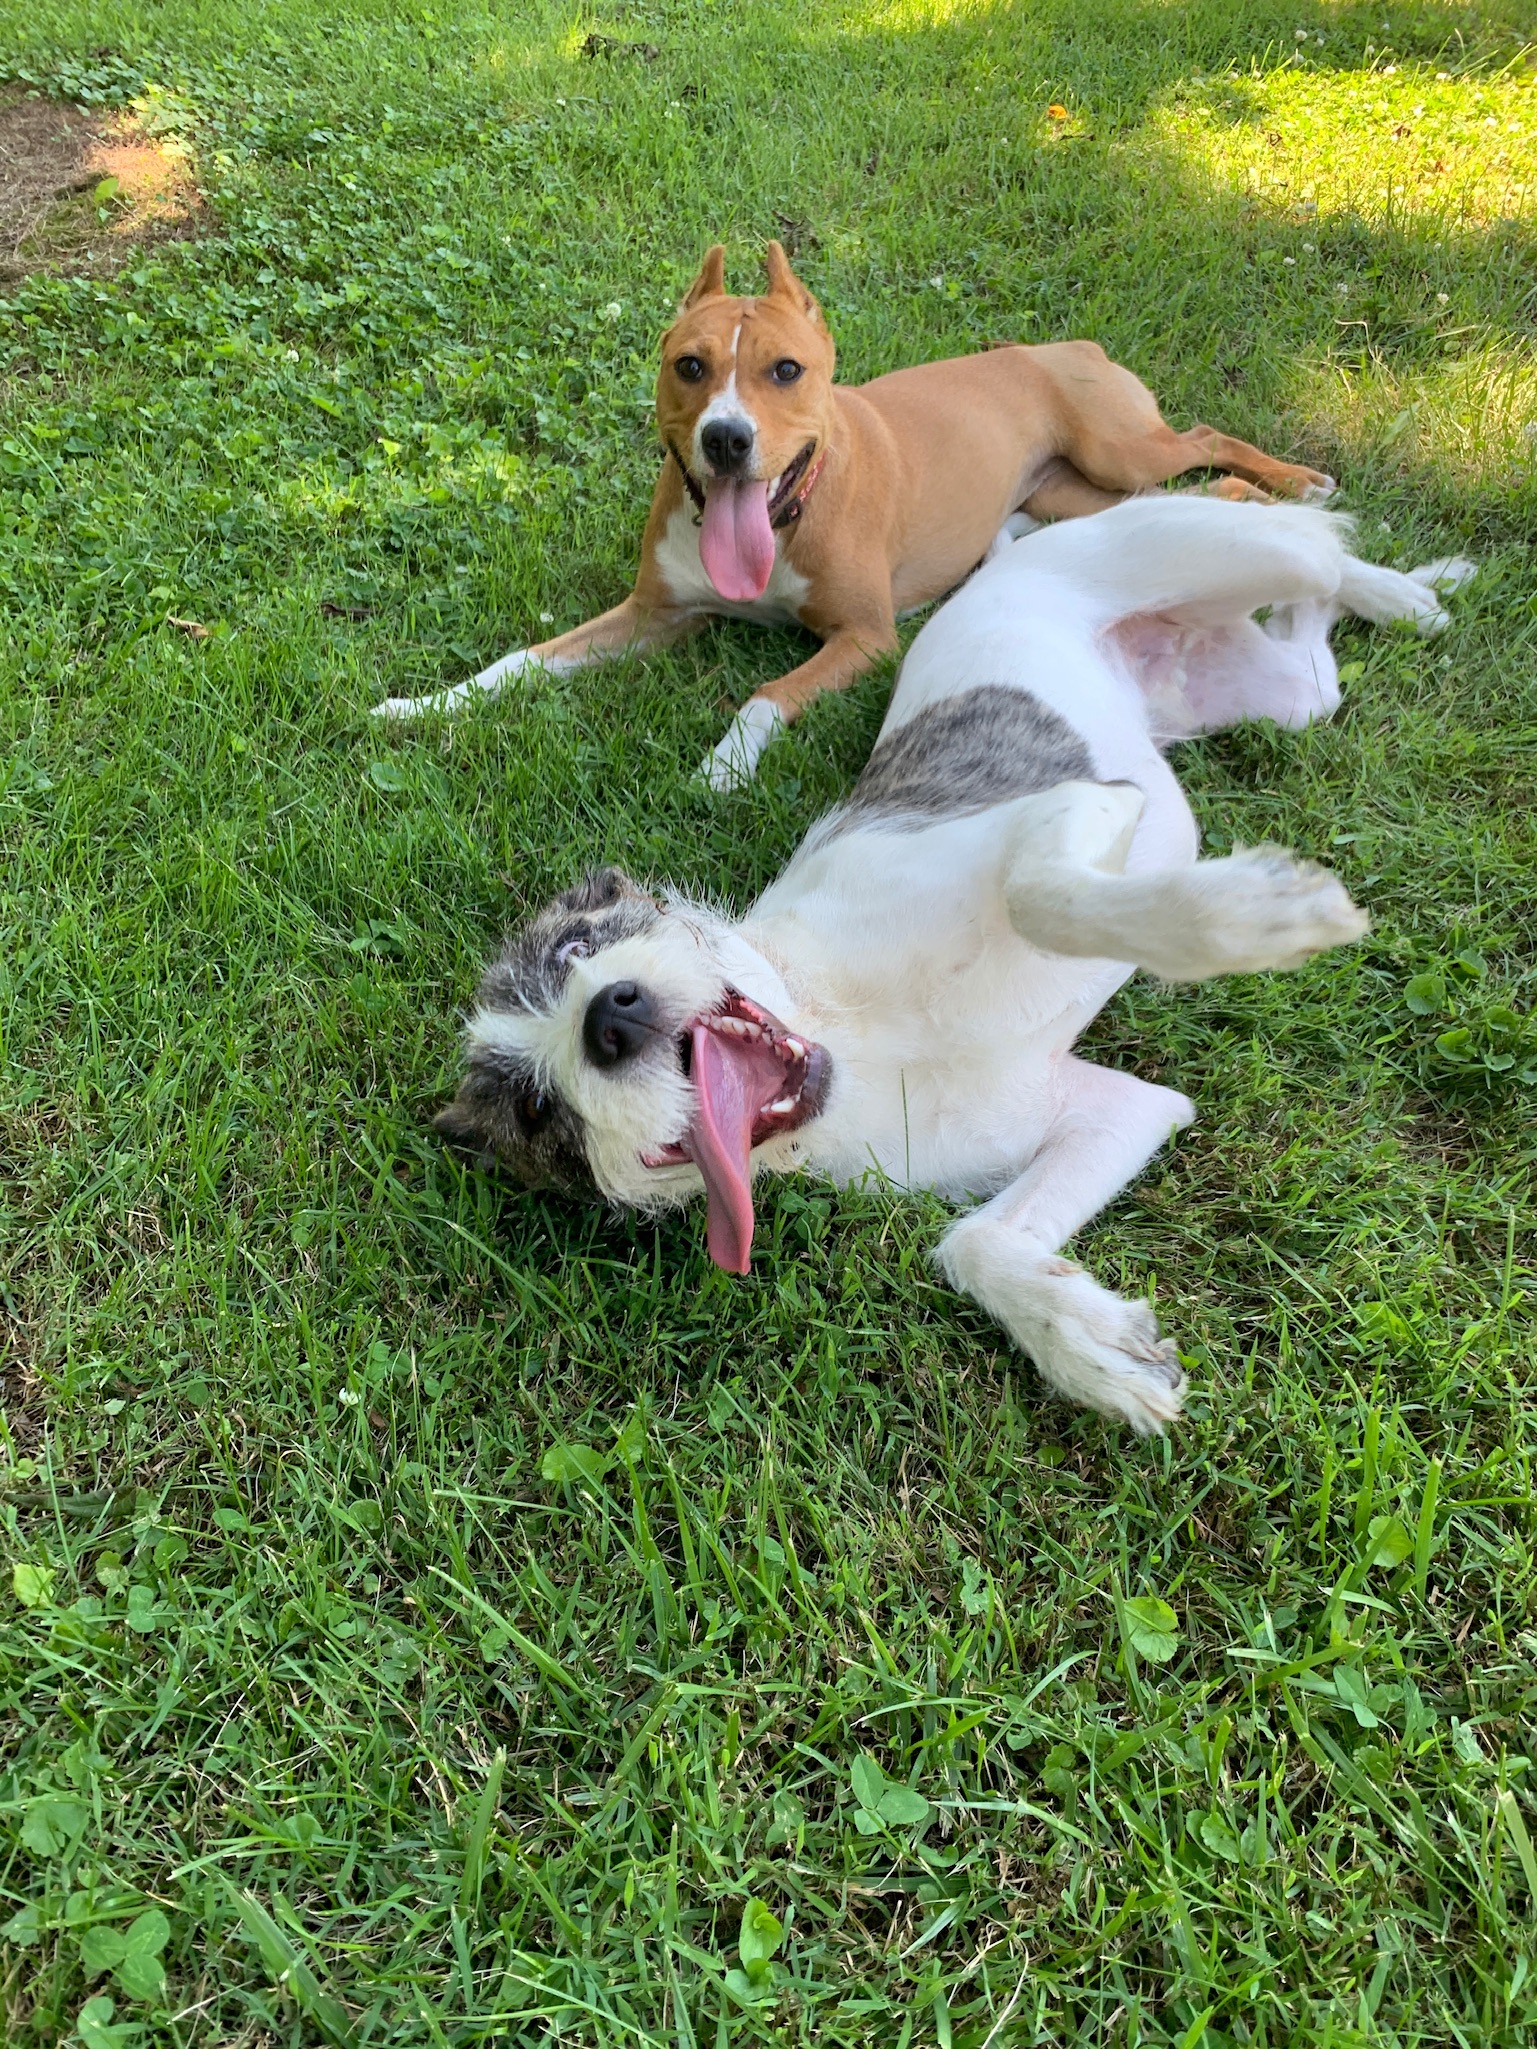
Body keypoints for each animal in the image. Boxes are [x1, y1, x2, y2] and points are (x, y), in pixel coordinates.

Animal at [372, 241, 1336, 782]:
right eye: (688, 365)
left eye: (786, 370)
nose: (727, 438)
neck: (787, 514)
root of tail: (1070, 343)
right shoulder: (653, 614)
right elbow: (522, 661)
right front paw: (427, 703)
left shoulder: (866, 638)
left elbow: (767, 693)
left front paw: (722, 767)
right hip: (1077, 491)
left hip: (1118, 448)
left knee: (1209, 444)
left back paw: (1296, 485)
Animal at [434, 495, 1483, 1434]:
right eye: (537, 1111)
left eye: (577, 945)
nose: (609, 1016)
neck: (855, 1040)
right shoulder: (1115, 1111)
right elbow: (969, 1241)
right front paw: (1084, 1340)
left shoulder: (1075, 805)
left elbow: (1039, 892)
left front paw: (1243, 917)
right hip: (1282, 695)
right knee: (1309, 635)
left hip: (1221, 551)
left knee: (1318, 544)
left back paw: (1411, 586)